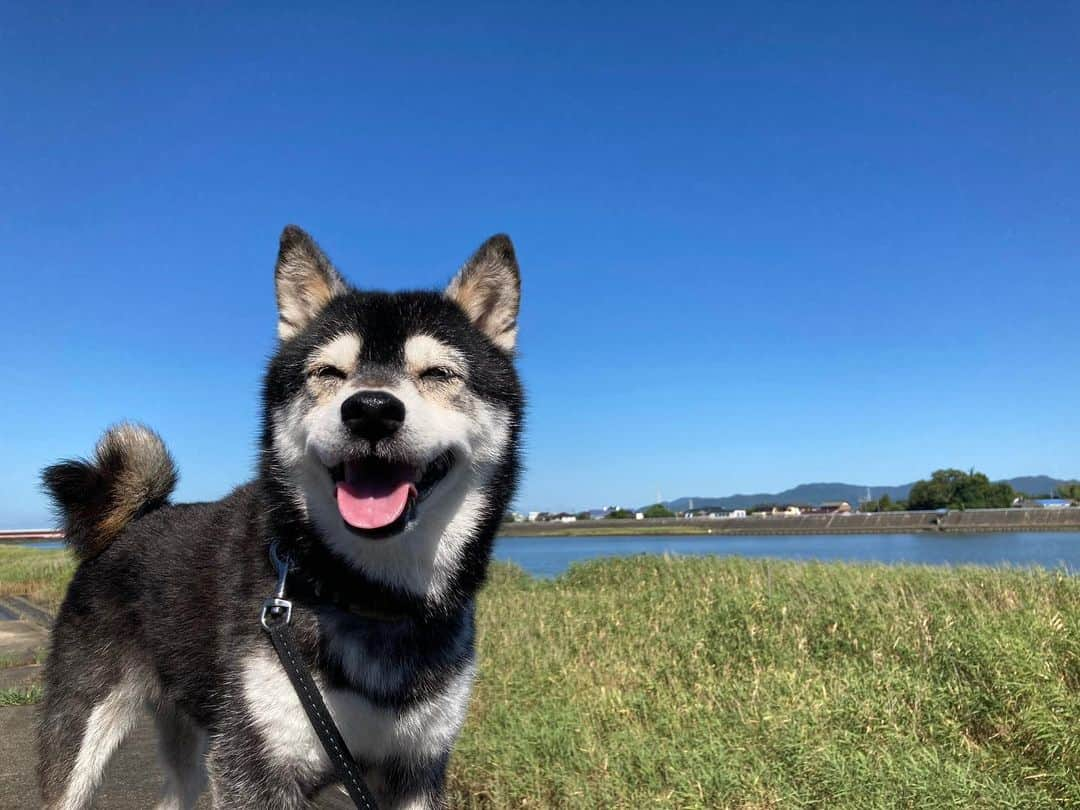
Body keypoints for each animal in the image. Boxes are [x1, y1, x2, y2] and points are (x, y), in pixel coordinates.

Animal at [34, 223, 522, 810]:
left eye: (438, 373)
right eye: (328, 372)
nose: (371, 410)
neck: (370, 594)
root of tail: (134, 520)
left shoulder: (417, 767)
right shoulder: (253, 767)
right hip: (84, 726)